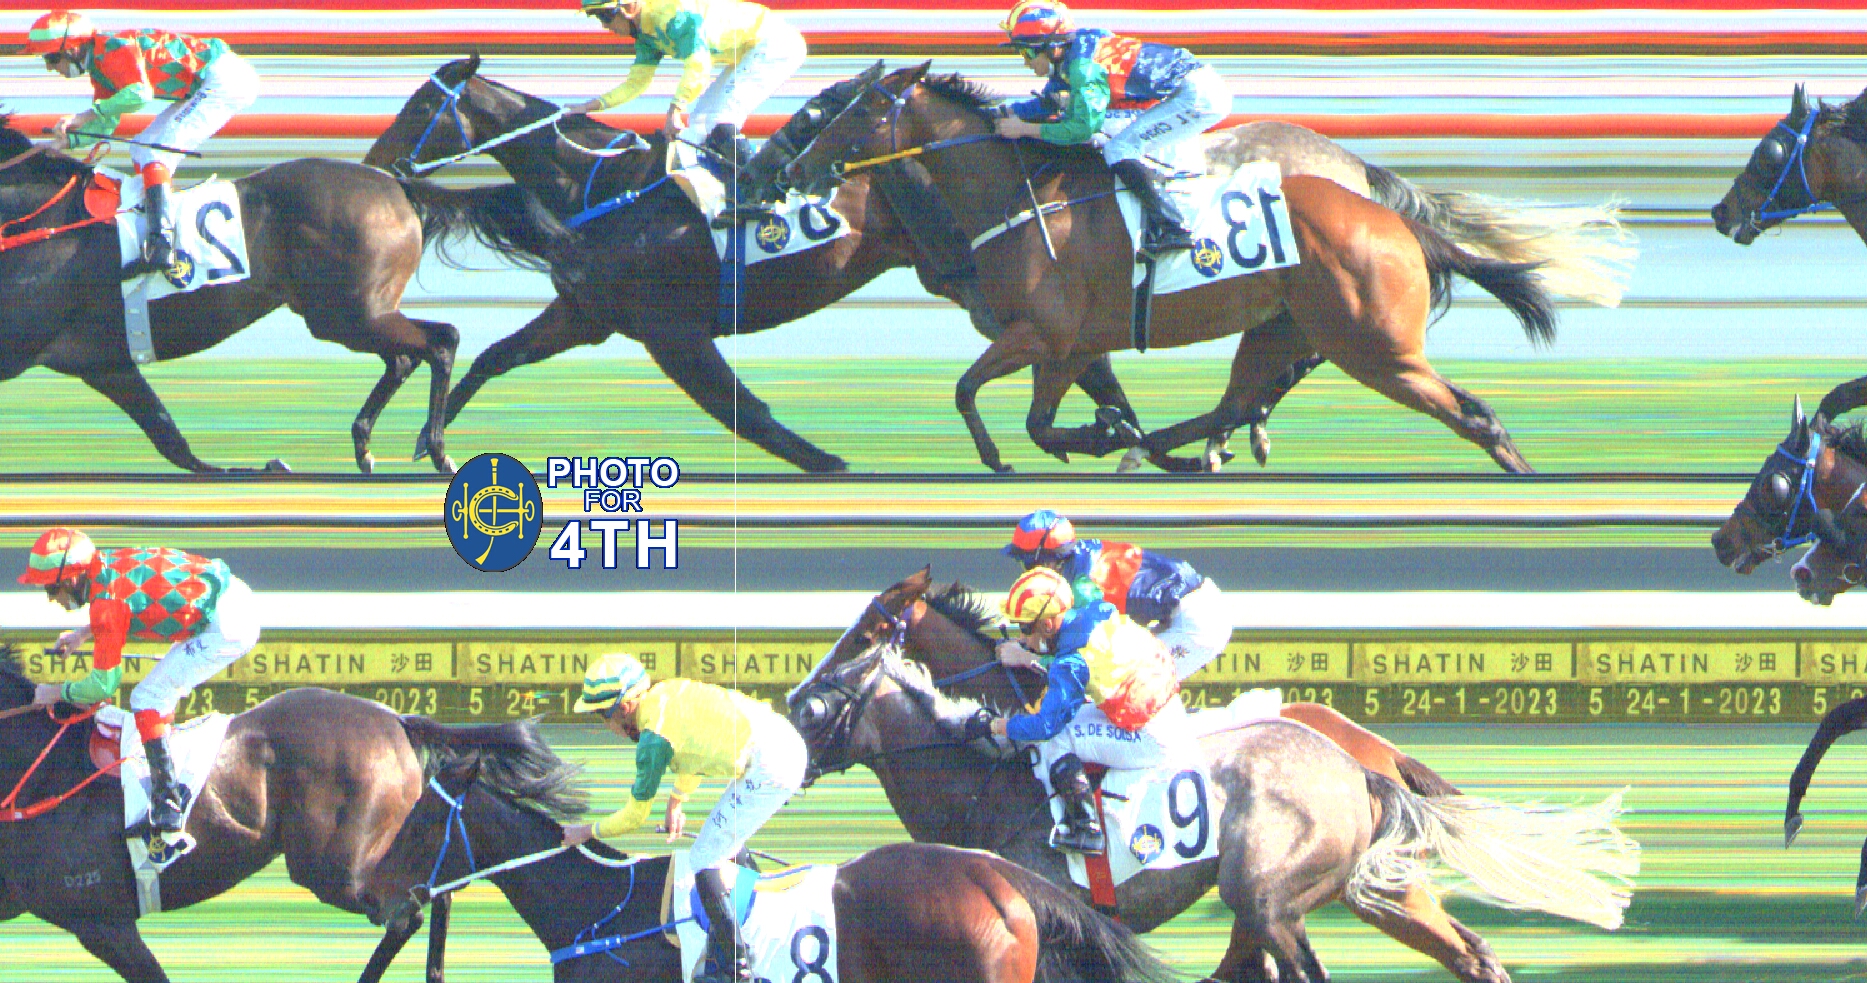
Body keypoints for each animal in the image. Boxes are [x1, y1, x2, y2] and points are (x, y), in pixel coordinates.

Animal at [0, 118, 465, 474]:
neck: (39, 221)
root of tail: (396, 186)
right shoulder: (104, 364)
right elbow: (170, 437)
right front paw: (261, 466)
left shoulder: (24, 349)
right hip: (357, 314)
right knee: (405, 357)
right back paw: (365, 445)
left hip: (350, 315)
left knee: (442, 341)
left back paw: (437, 450)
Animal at [0, 644, 577, 983]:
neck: (33, 769)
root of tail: (395, 718)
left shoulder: (99, 918)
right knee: (435, 890)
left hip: (334, 866)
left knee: (405, 910)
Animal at [780, 64, 1636, 473]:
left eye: (850, 106)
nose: (786, 166)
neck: (1016, 193)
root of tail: (1389, 213)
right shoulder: (1069, 346)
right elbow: (1031, 414)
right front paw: (1099, 434)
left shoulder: (1041, 335)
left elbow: (978, 396)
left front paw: (1043, 447)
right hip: (1283, 328)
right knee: (1237, 401)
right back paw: (1178, 444)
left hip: (1373, 348)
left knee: (1469, 413)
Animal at [784, 569, 1639, 983]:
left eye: (862, 635)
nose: (787, 708)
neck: (987, 785)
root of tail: (1367, 758)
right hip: (1361, 889)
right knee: (1471, 956)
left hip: (1276, 893)